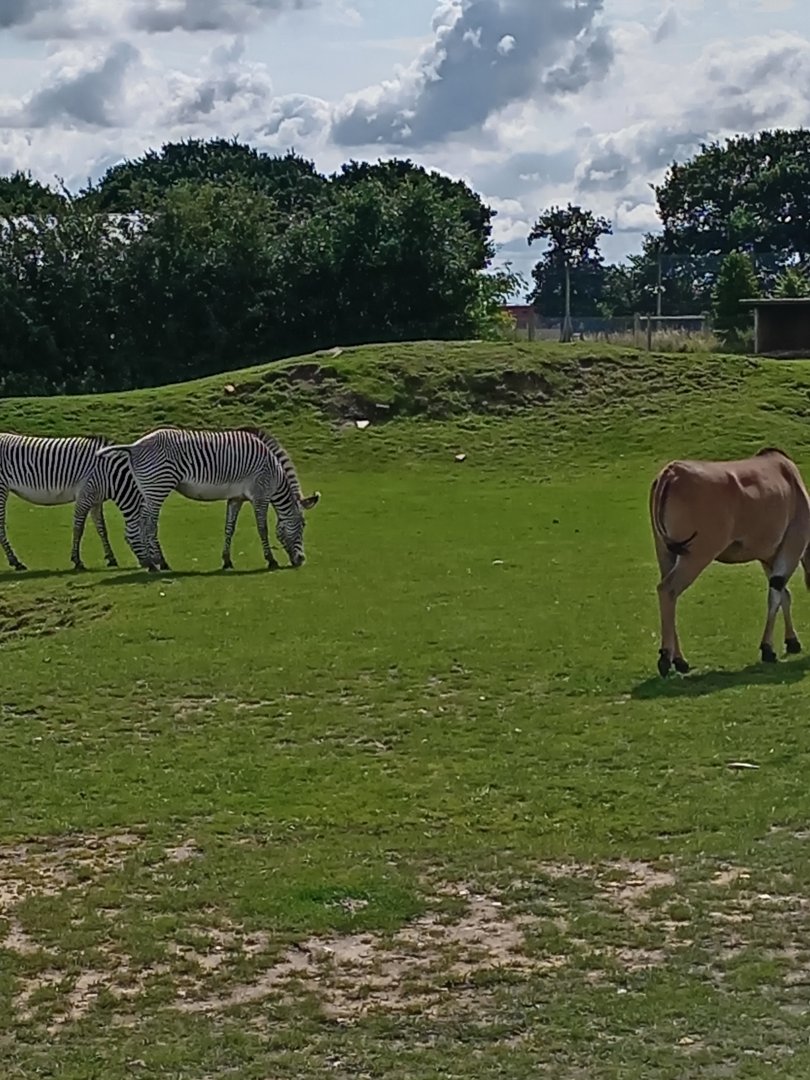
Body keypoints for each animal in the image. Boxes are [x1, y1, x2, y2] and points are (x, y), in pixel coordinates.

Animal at [0, 433, 151, 571]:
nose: (151, 564)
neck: (111, 474)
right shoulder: (85, 495)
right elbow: (78, 528)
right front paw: (77, 561)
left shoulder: (96, 500)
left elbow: (102, 529)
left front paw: (111, 558)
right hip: (2, 488)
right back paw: (16, 562)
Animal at [96, 426, 320, 572]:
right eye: (303, 525)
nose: (301, 560)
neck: (275, 474)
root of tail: (134, 446)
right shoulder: (260, 495)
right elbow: (262, 528)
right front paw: (271, 560)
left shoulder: (236, 498)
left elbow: (229, 528)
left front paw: (227, 561)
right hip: (158, 488)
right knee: (149, 525)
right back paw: (157, 564)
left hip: (148, 490)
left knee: (139, 524)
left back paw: (153, 562)